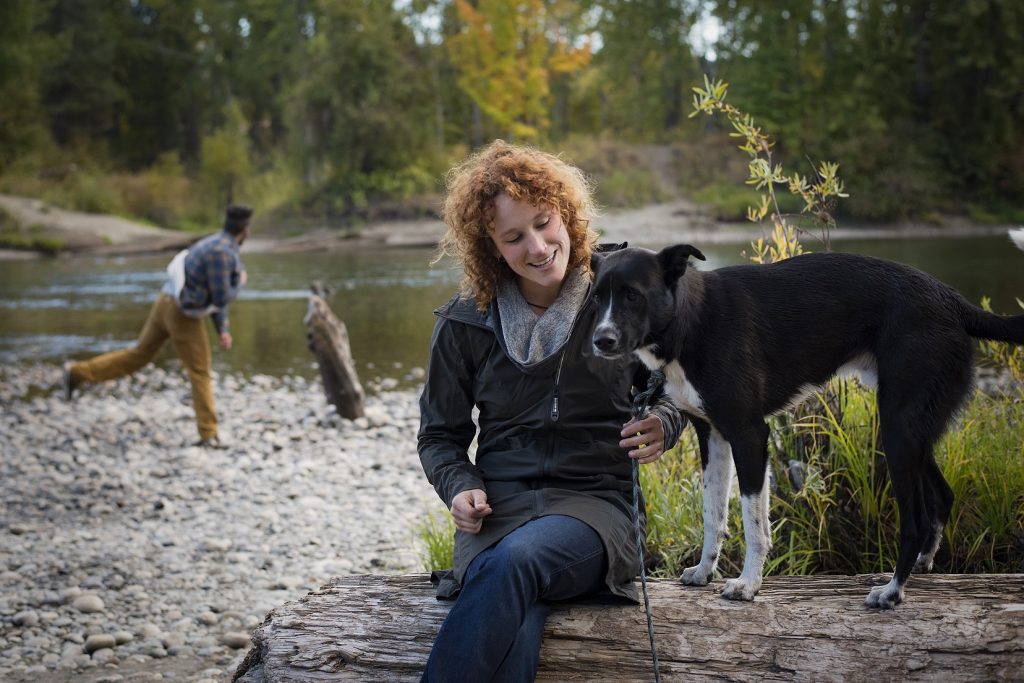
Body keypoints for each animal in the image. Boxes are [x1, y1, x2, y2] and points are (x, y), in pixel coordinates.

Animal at [589, 231, 1024, 610]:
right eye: (596, 297)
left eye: (632, 295)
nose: (600, 341)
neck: (691, 323)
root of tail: (953, 300)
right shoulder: (712, 436)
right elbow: (714, 514)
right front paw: (704, 571)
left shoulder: (749, 434)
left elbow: (753, 523)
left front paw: (748, 585)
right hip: (914, 430)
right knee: (943, 496)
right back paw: (919, 566)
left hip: (899, 428)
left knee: (915, 519)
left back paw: (893, 591)